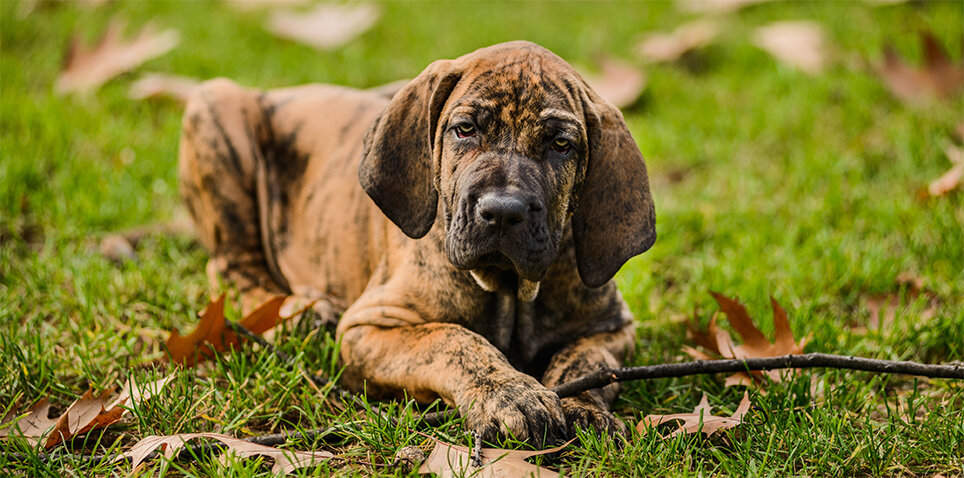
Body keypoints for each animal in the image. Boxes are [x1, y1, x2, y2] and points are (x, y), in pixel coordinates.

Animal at [177, 41, 656, 444]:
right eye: (464, 129)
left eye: (561, 145)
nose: (503, 211)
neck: (507, 290)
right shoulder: (370, 329)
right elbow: (452, 340)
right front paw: (511, 394)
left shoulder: (611, 327)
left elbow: (587, 361)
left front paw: (582, 406)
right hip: (214, 107)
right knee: (231, 266)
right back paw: (298, 312)